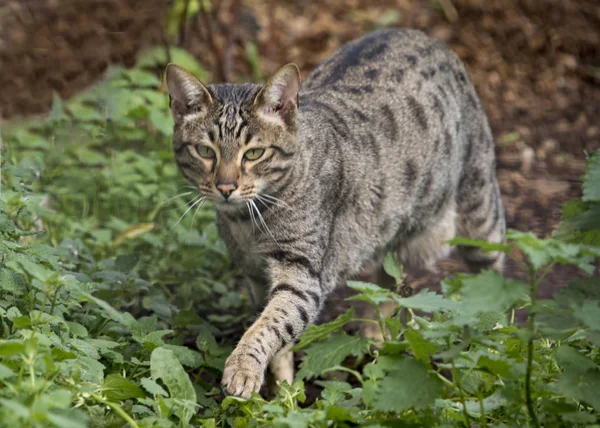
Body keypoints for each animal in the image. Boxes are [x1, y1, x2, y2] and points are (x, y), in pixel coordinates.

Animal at [165, 29, 506, 398]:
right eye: (204, 151)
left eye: (254, 153)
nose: (226, 186)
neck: (248, 223)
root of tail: (425, 36)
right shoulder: (256, 276)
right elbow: (275, 334)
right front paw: (282, 392)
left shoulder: (303, 275)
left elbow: (269, 325)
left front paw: (244, 368)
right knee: (390, 279)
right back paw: (376, 336)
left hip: (480, 211)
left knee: (496, 272)